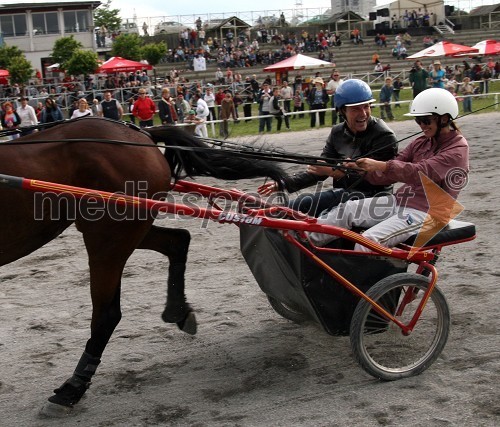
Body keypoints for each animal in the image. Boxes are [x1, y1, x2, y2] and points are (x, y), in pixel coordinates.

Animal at [0, 116, 286, 414]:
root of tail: (142, 134)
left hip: (108, 236)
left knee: (107, 314)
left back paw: (73, 387)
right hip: (128, 229)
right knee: (178, 240)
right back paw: (177, 309)